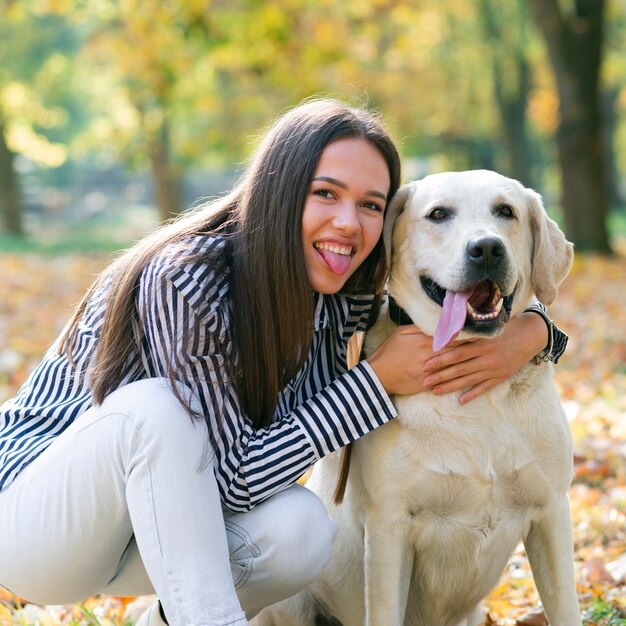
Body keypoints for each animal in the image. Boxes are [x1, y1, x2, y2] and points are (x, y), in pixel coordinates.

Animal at [251, 171, 576, 624]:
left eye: (505, 211)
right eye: (438, 214)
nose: (486, 248)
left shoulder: (552, 512)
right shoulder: (390, 527)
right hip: (288, 603)